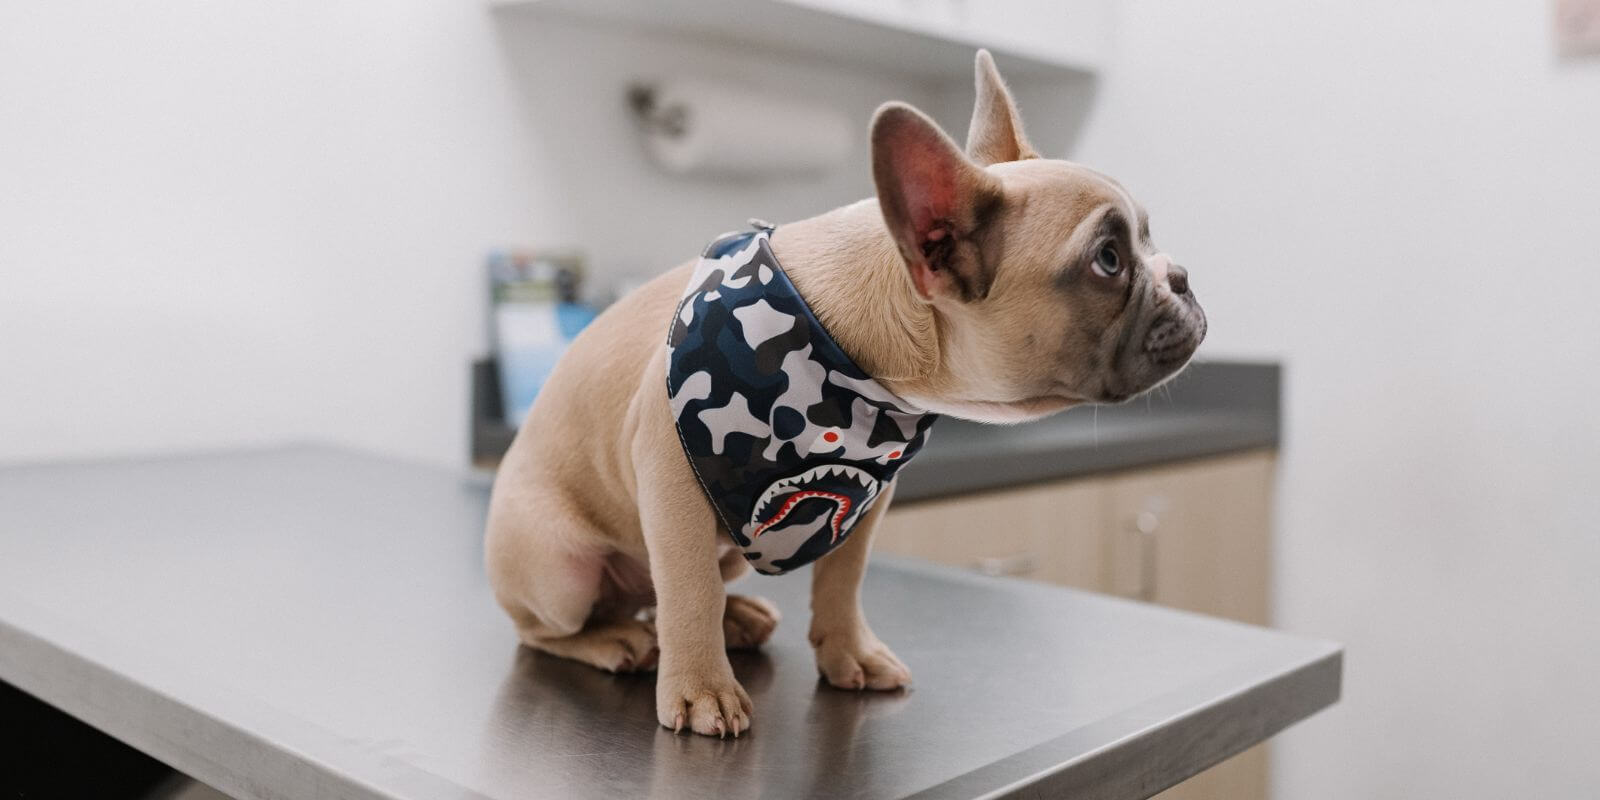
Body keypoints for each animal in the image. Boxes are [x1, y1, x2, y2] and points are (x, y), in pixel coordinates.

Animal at [480, 50, 1203, 736]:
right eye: (1107, 261)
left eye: (1146, 239)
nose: (1181, 275)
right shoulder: (671, 483)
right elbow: (688, 589)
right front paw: (701, 689)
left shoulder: (864, 497)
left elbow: (841, 580)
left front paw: (847, 653)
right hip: (559, 571)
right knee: (554, 626)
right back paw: (618, 641)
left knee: (665, 592)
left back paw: (734, 616)